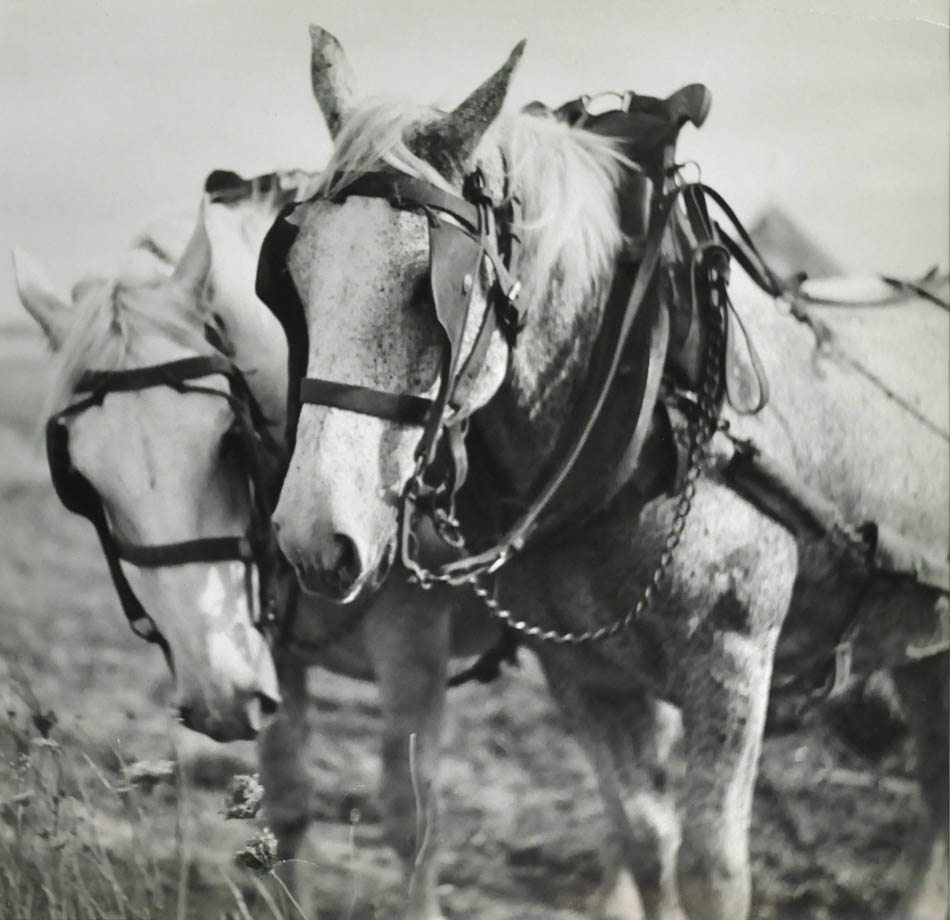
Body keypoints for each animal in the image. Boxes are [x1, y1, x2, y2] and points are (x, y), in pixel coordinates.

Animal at [266, 27, 948, 919]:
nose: (313, 538)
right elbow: (647, 843)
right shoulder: (586, 676)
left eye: (433, 287)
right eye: (294, 278)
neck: (651, 400)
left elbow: (712, 871)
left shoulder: (731, 663)